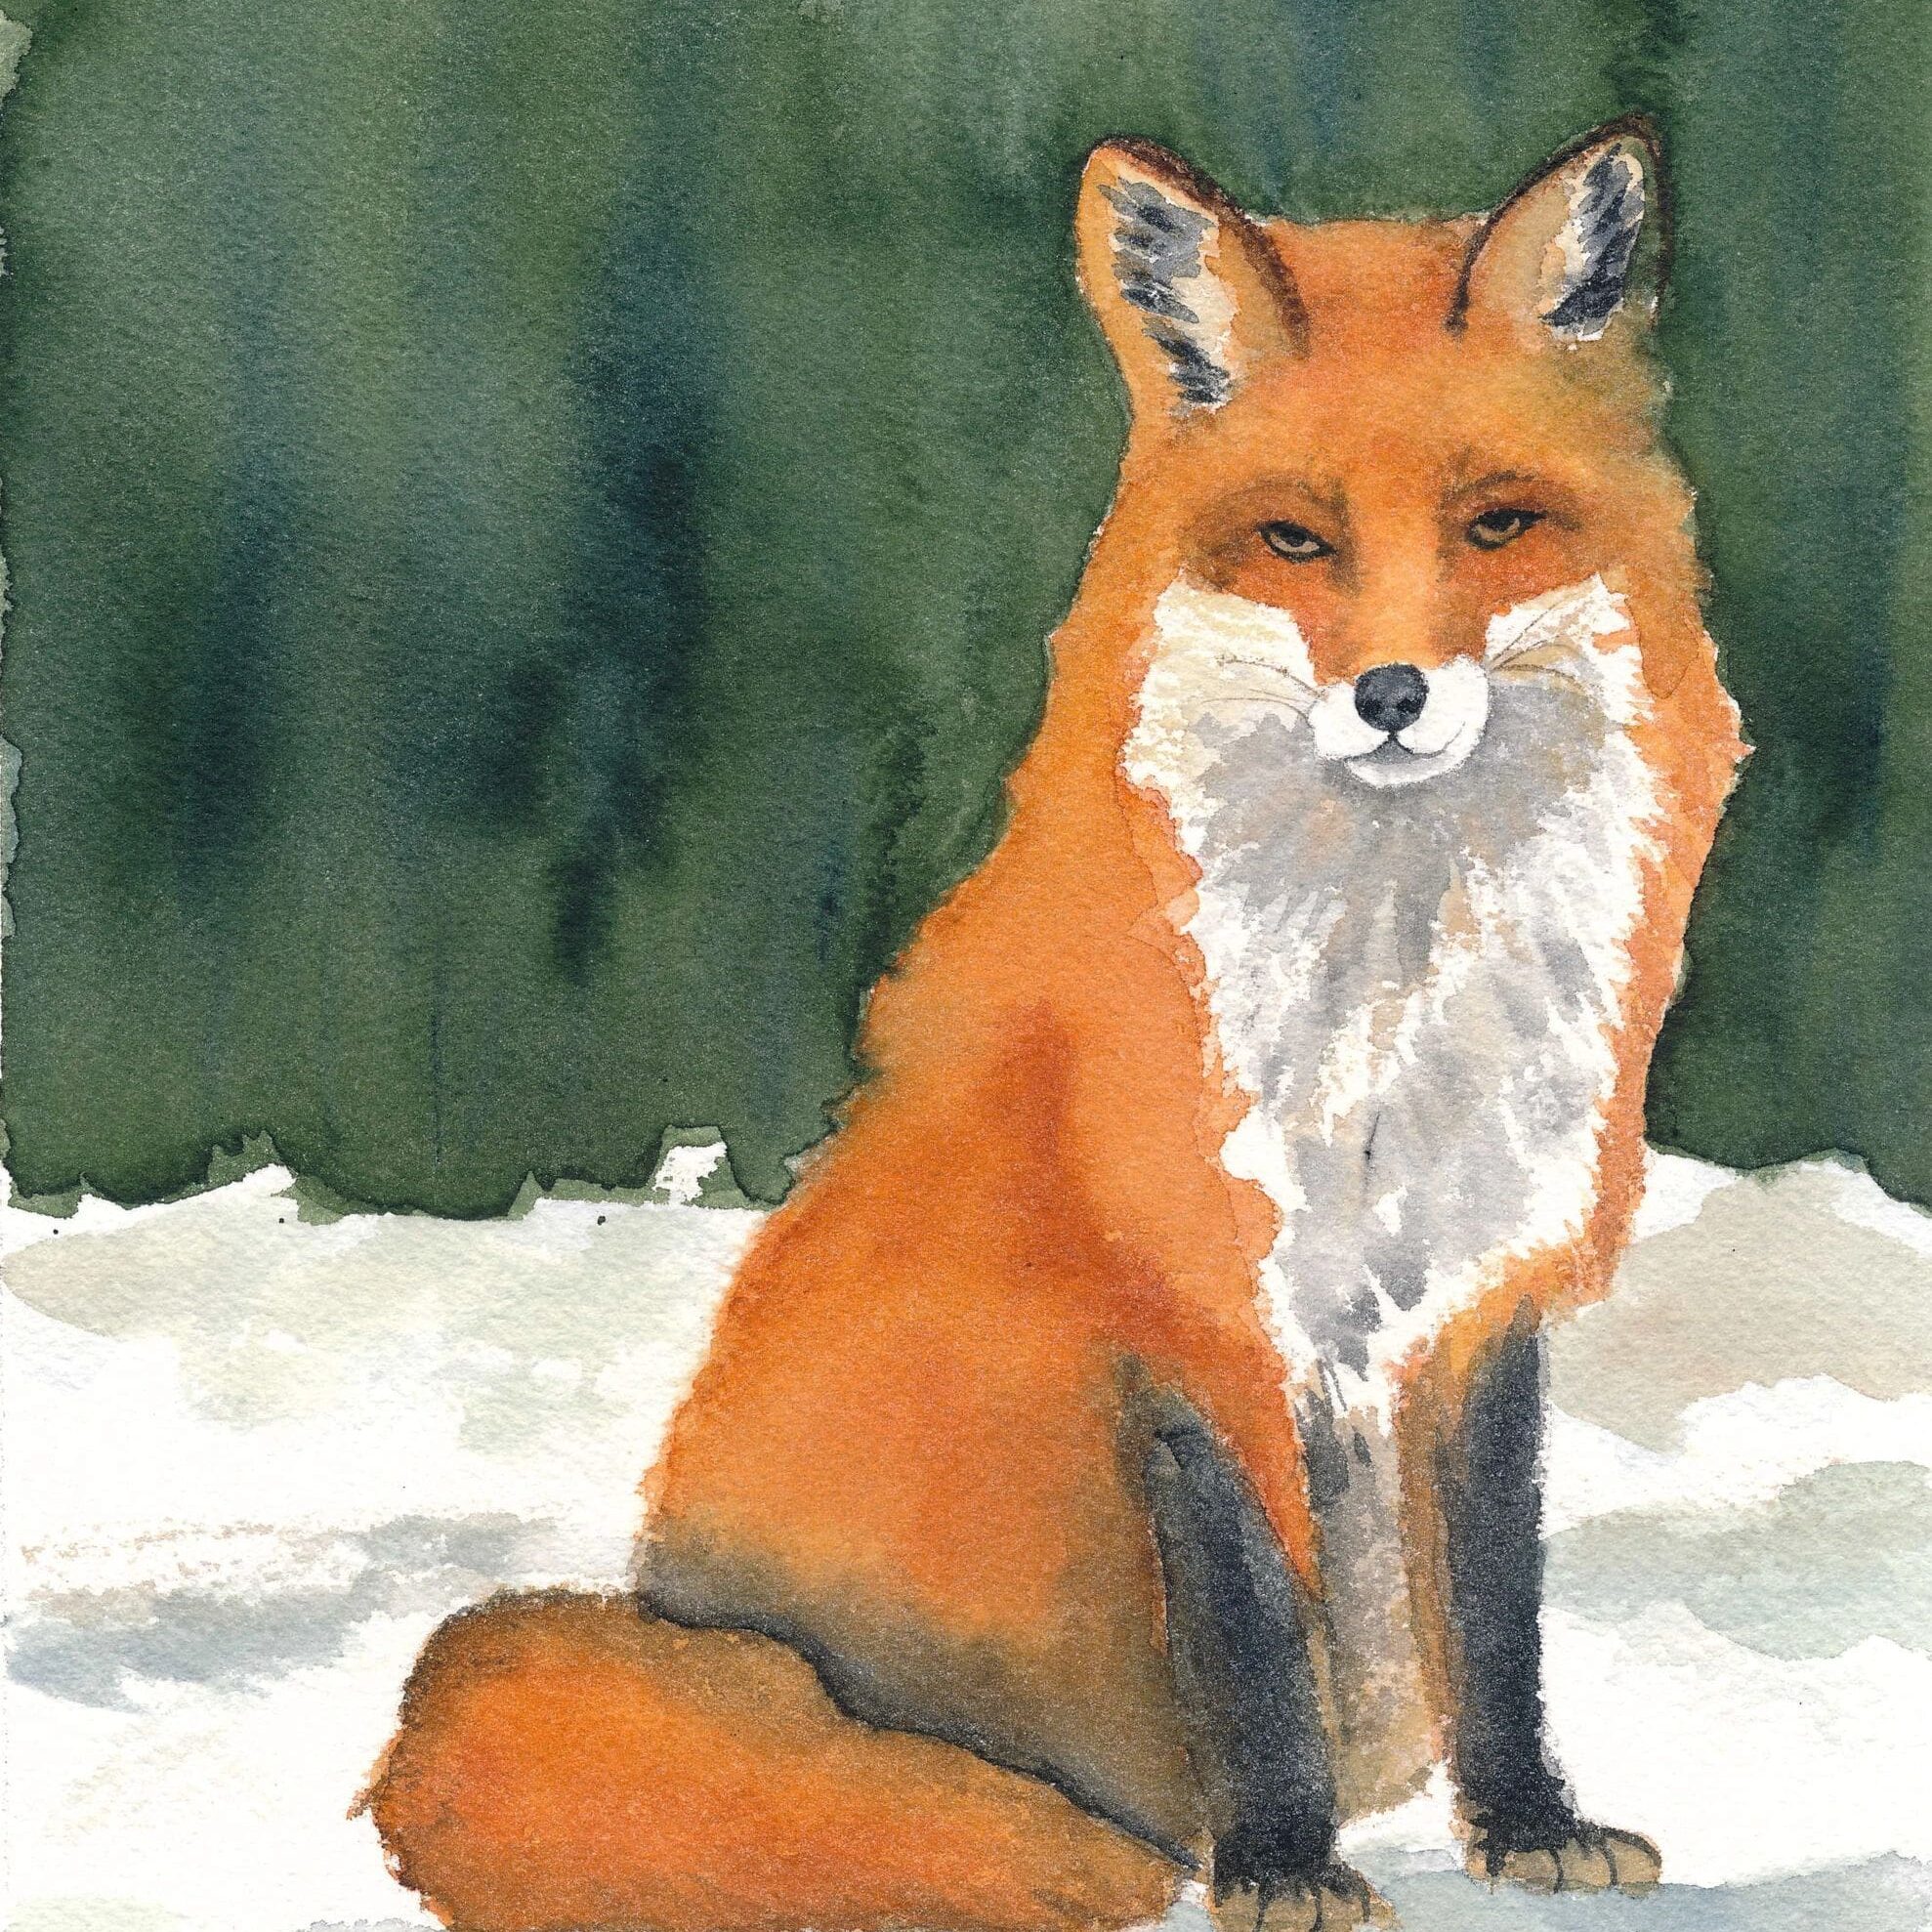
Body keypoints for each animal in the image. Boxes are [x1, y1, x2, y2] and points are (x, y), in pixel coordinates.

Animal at [366, 118, 1745, 1932]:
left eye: (1496, 522)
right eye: (1293, 540)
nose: (1389, 694)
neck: (1384, 996)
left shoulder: (1475, 1288)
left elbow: (1494, 1604)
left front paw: (1525, 1828)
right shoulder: (1176, 1302)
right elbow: (1250, 1633)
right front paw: (1280, 1866)